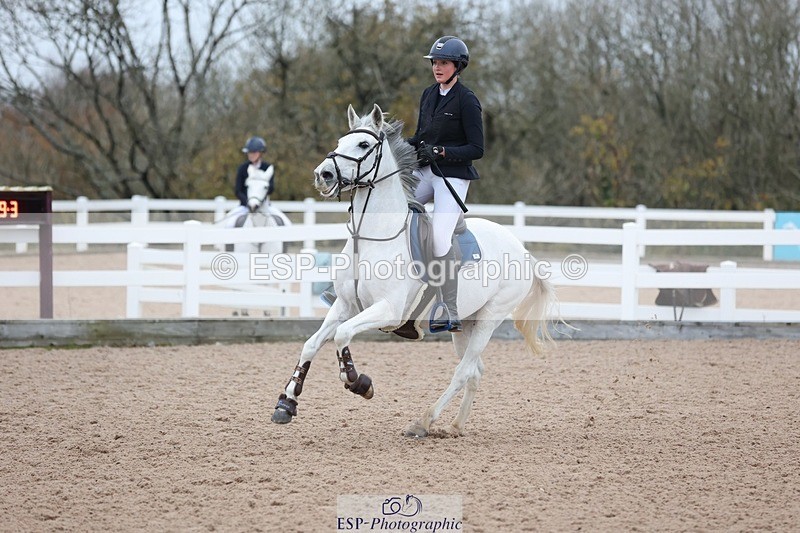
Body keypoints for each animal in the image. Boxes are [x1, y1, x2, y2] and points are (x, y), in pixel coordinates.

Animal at [270, 104, 555, 437]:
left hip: (489, 318)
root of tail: (523, 251)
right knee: (475, 370)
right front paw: (286, 403)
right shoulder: (344, 305)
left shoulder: (388, 310)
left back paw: (424, 421)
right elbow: (311, 344)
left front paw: (358, 382)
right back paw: (456, 425)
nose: (323, 175)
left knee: (463, 371)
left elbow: (342, 335)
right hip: (466, 324)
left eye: (363, 145)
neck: (373, 237)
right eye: (340, 141)